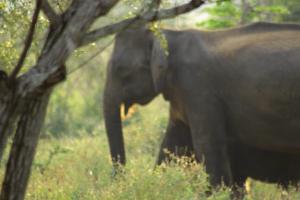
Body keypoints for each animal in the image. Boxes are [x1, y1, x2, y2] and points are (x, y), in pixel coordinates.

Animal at [102, 22, 300, 188]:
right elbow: (173, 144)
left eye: (121, 70)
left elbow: (206, 143)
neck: (168, 33)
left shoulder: (197, 86)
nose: (122, 181)